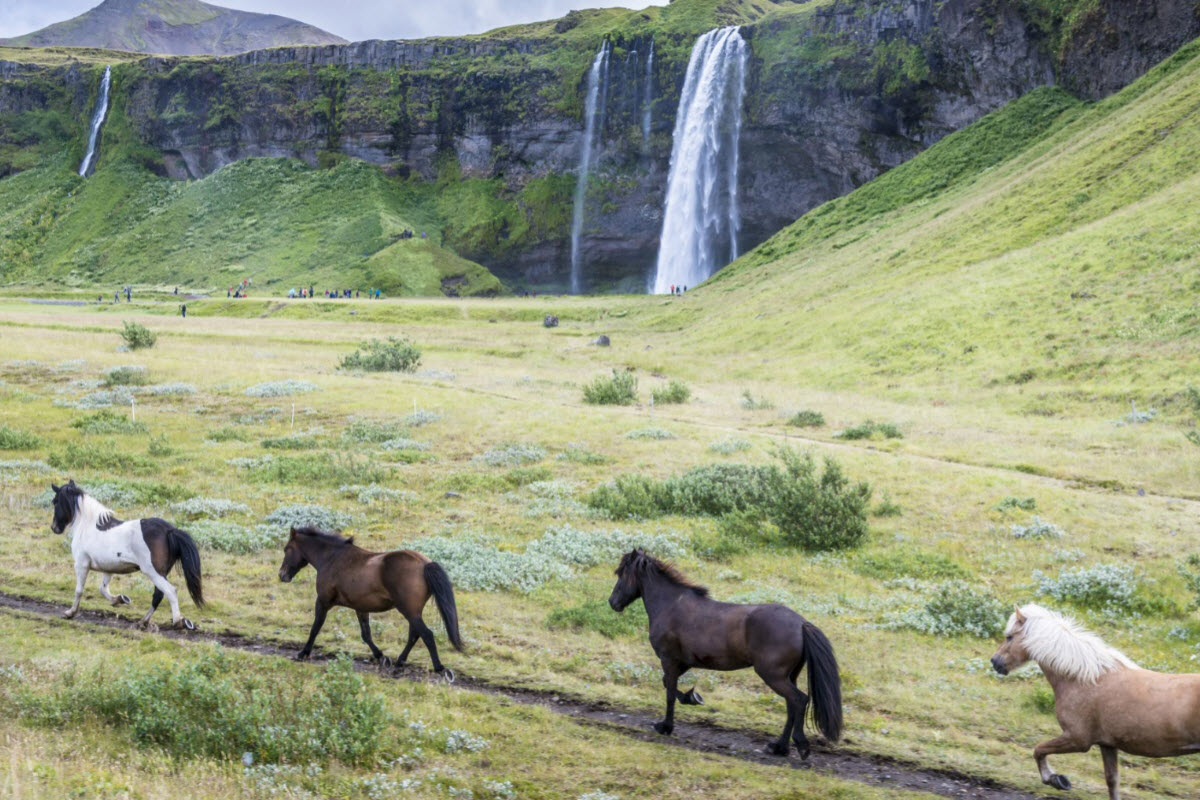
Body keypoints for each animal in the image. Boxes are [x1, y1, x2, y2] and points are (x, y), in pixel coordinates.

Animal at [48, 482, 204, 633]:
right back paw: (142, 622)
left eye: (55, 502)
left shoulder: (81, 564)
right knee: (158, 595)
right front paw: (120, 599)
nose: (54, 528)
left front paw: (70, 613)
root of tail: (170, 530)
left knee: (170, 591)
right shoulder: (108, 568)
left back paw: (178, 622)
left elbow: (79, 590)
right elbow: (103, 589)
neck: (87, 526)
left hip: (153, 572)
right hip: (161, 573)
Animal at [279, 527, 463, 681]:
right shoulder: (361, 608)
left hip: (409, 611)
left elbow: (315, 627)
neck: (331, 558)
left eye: (287, 549)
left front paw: (303, 653)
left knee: (426, 635)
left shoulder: (323, 601)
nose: (282, 575)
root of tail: (425, 564)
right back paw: (399, 663)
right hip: (413, 612)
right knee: (415, 635)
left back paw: (439, 668)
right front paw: (381, 657)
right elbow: (366, 634)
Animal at [609, 546, 844, 762]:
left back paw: (800, 746)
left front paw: (666, 726)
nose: (612, 602)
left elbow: (669, 692)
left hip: (773, 676)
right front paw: (692, 698)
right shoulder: (683, 662)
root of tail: (802, 624)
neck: (671, 605)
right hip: (788, 676)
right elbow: (668, 684)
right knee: (791, 705)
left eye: (621, 573)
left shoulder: (669, 660)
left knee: (799, 700)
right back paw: (779, 747)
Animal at [993, 604, 1200, 796]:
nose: (995, 662)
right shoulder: (1107, 745)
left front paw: (1055, 779)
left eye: (1009, 637)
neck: (1084, 679)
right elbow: (1112, 781)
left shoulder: (1077, 739)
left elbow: (1039, 749)